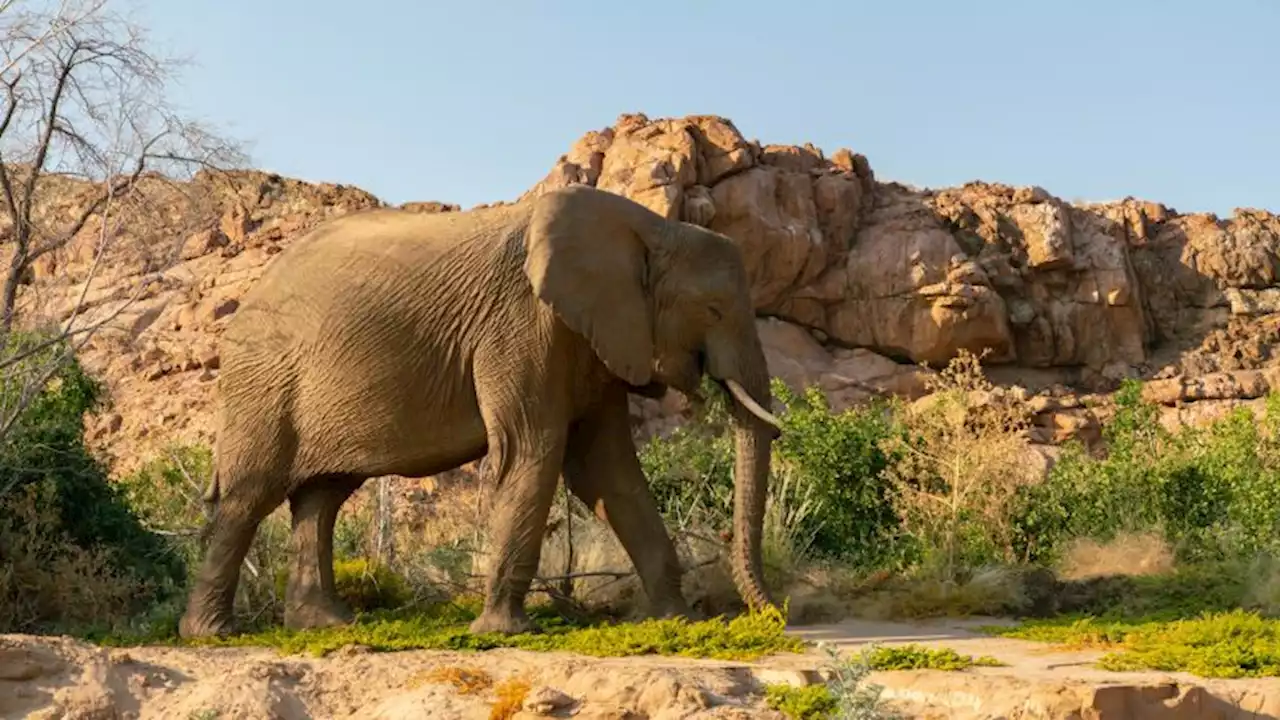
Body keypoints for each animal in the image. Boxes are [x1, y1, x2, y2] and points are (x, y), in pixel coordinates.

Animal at [176, 181, 783, 635]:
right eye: (713, 309)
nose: (773, 616)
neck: (649, 227)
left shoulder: (594, 340)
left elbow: (608, 470)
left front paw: (677, 621)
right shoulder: (520, 325)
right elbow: (533, 452)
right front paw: (502, 632)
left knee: (321, 497)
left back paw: (325, 625)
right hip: (265, 380)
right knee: (251, 496)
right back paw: (211, 633)